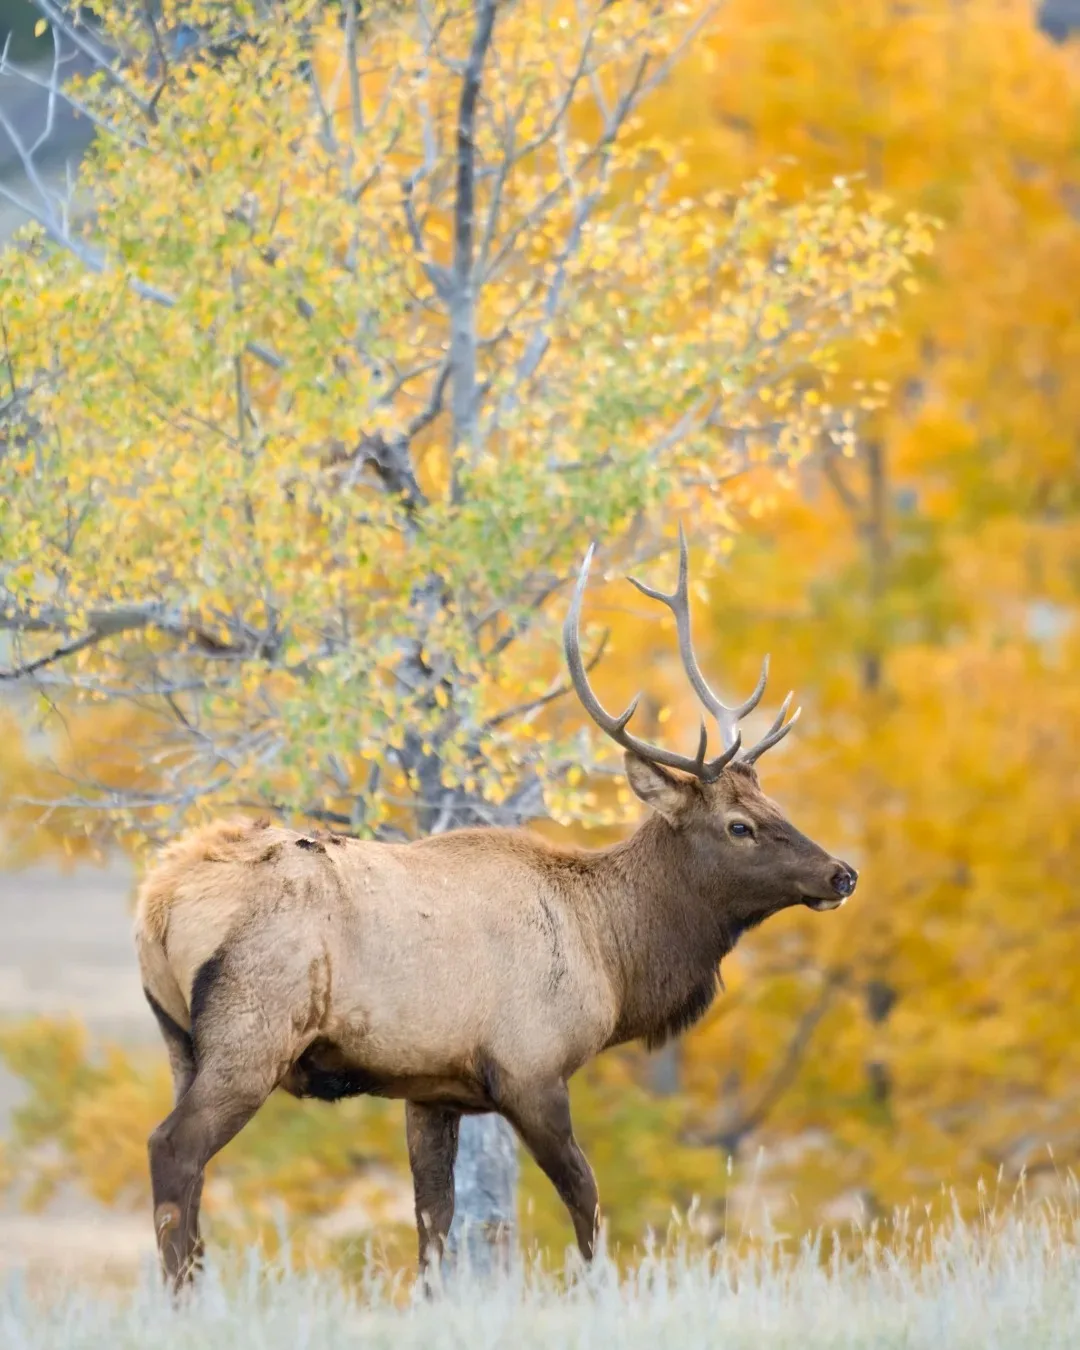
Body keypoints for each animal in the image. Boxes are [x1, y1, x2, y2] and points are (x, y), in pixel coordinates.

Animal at [134, 529, 857, 1289]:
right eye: (739, 826)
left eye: (773, 804)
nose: (841, 873)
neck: (612, 955)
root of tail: (156, 904)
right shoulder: (530, 1066)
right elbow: (585, 1200)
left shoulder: (431, 1088)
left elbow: (434, 1222)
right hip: (254, 1031)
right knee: (172, 1150)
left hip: (179, 1040)